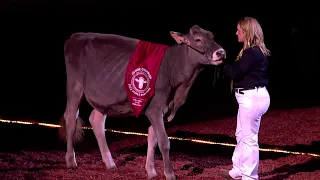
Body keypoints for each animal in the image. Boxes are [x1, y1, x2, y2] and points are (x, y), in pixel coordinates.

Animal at [58, 24, 226, 180]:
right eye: (198, 40)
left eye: (212, 36)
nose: (221, 52)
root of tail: (77, 35)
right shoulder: (155, 109)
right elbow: (164, 142)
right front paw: (170, 173)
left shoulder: (161, 110)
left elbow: (153, 139)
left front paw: (151, 171)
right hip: (75, 86)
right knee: (71, 119)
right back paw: (71, 161)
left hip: (104, 97)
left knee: (96, 120)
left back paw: (110, 163)